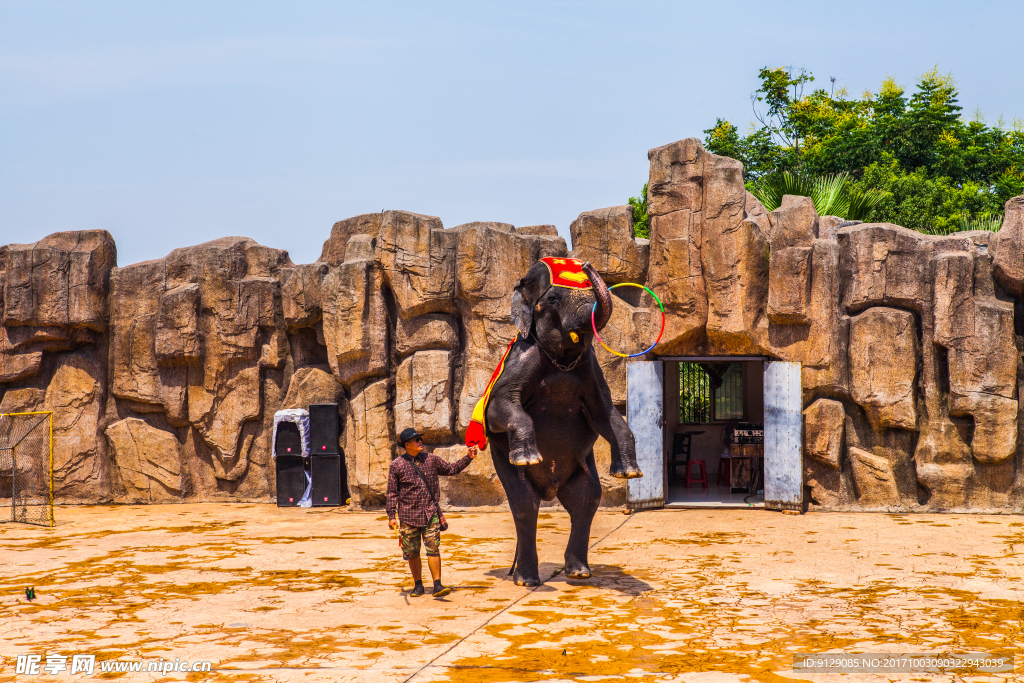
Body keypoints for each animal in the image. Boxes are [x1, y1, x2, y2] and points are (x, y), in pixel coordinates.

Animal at [464, 255, 638, 589]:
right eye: (554, 298)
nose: (586, 264)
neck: (562, 358)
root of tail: (551, 489)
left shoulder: (591, 367)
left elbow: (606, 413)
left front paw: (630, 473)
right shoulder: (522, 357)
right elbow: (499, 409)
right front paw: (530, 457)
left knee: (587, 498)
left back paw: (579, 573)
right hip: (503, 462)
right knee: (525, 504)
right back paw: (526, 580)